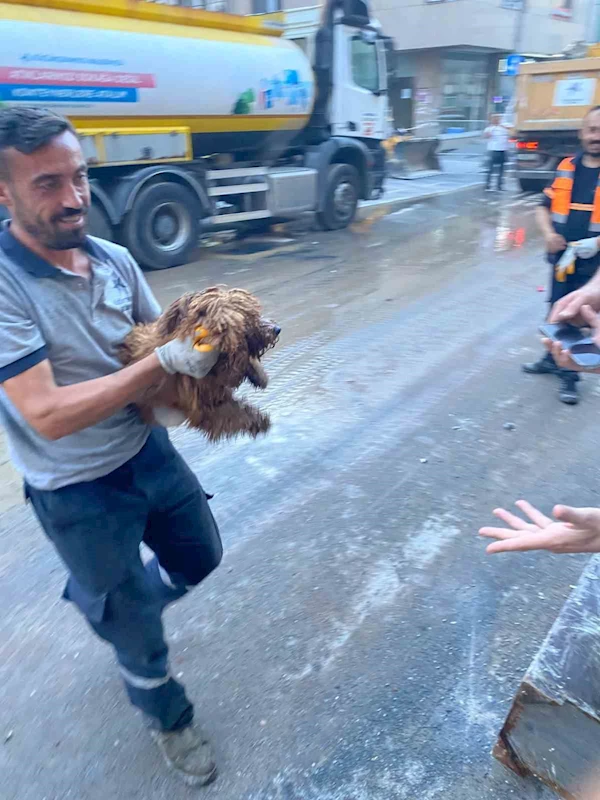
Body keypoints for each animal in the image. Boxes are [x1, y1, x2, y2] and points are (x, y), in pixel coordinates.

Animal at [122, 288, 284, 440]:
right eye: (249, 318)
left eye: (254, 313)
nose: (276, 329)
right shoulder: (204, 406)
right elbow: (232, 413)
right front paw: (258, 421)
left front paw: (259, 375)